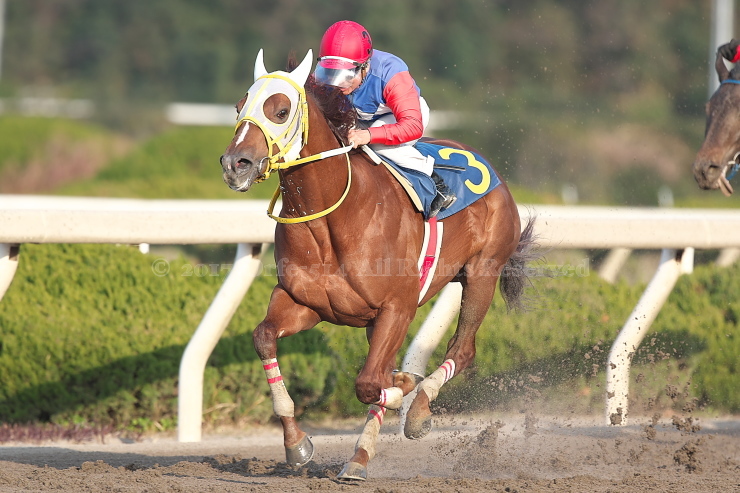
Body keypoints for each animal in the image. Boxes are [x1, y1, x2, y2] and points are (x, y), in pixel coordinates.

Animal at [217, 51, 536, 480]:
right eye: (239, 107)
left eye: (280, 111)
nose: (235, 164)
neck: (332, 219)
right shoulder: (304, 304)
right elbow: (264, 337)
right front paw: (297, 444)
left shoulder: (397, 308)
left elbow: (370, 384)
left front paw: (401, 393)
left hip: (482, 273)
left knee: (463, 349)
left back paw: (412, 415)